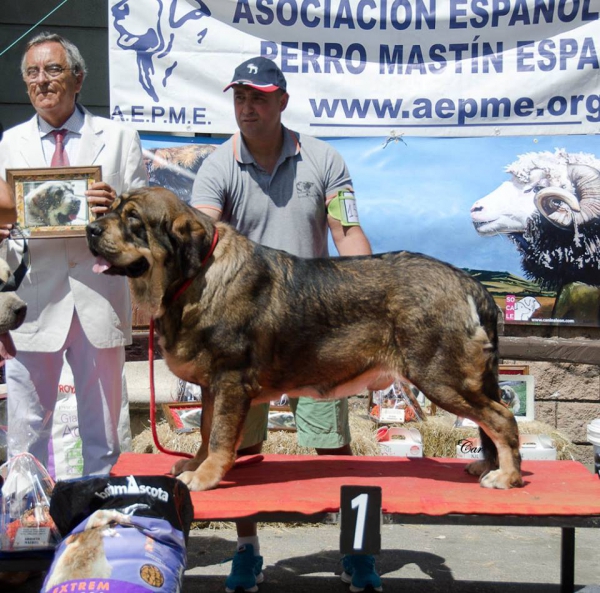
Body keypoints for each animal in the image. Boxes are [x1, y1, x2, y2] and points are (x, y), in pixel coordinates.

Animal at [86, 188, 524, 490]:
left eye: (133, 219)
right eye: (113, 208)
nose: (90, 228)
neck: (195, 278)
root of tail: (470, 283)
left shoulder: (230, 380)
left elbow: (222, 436)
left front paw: (205, 475)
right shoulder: (213, 387)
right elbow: (208, 431)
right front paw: (195, 464)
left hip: (440, 376)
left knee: (500, 417)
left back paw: (505, 477)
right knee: (488, 419)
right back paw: (488, 465)